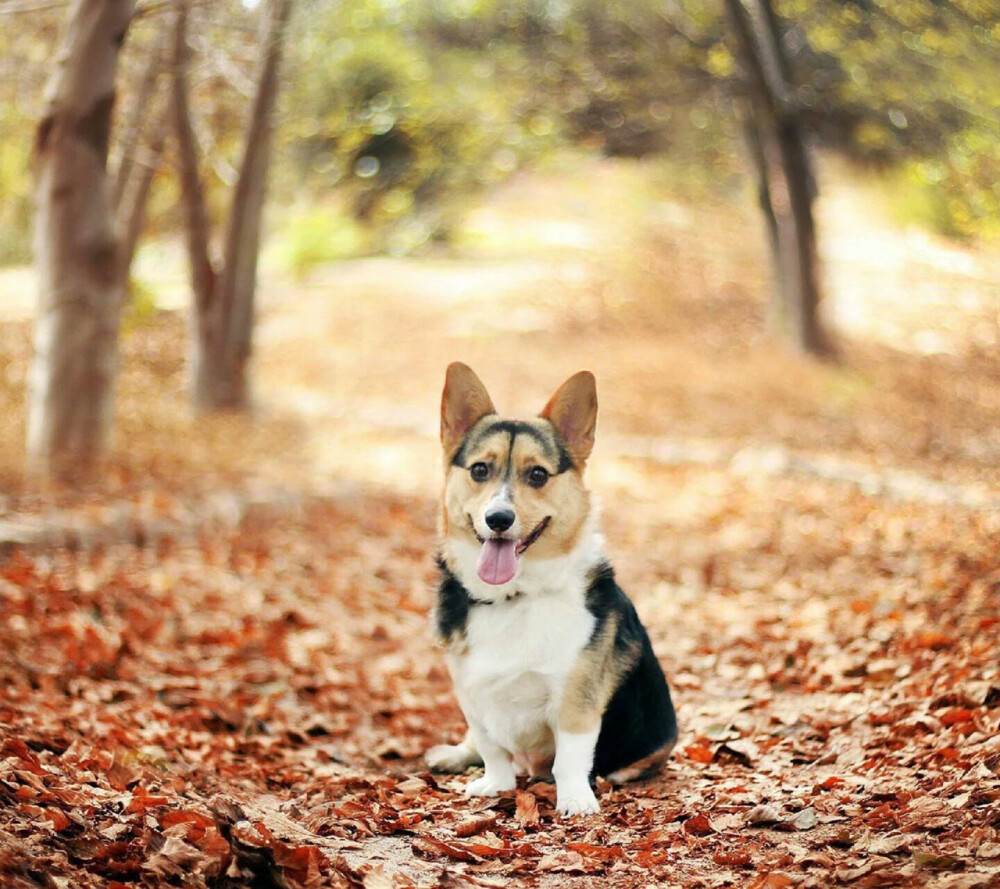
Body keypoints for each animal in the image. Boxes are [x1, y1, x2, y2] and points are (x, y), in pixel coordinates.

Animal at [426, 364, 676, 816]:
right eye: (479, 470)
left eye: (538, 474)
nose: (499, 518)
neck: (513, 596)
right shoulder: (472, 693)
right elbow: (491, 747)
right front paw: (496, 785)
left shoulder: (575, 699)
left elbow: (570, 758)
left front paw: (575, 799)